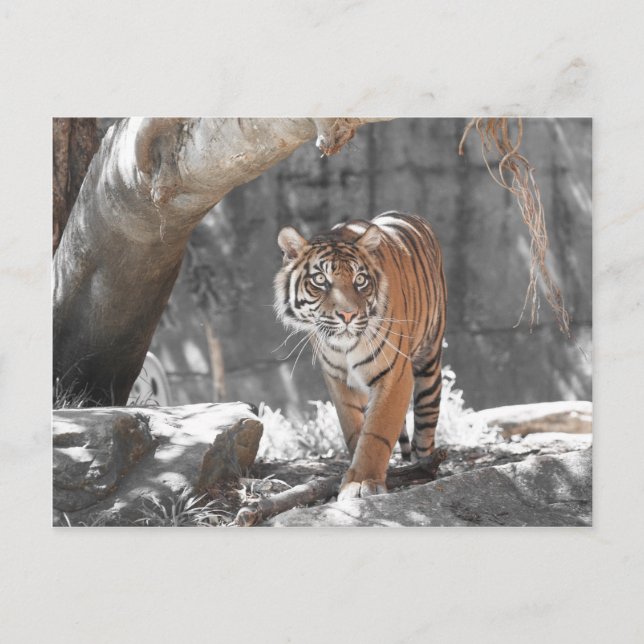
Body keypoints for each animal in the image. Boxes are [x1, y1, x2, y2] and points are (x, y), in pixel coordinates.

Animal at [274, 211, 447, 500]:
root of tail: (410, 216)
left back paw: (425, 467)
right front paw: (353, 475)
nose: (347, 315)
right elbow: (355, 430)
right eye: (320, 280)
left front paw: (363, 482)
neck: (344, 347)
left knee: (426, 421)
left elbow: (376, 432)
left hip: (429, 360)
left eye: (360, 280)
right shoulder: (337, 379)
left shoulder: (394, 375)